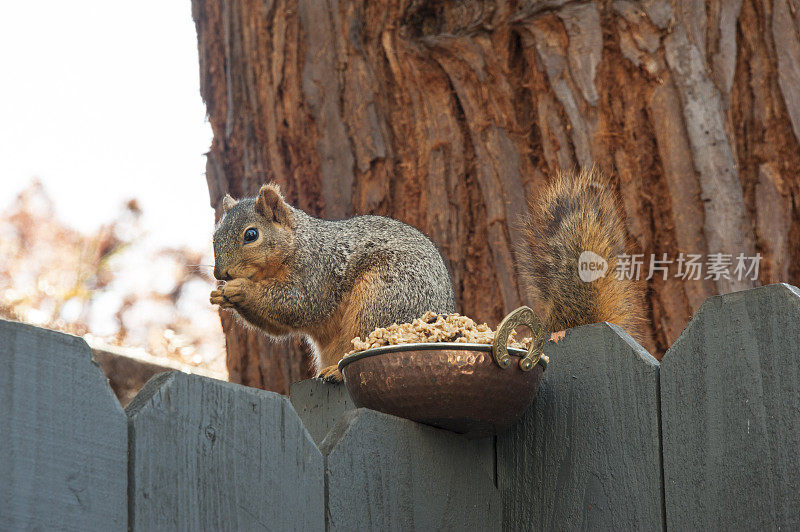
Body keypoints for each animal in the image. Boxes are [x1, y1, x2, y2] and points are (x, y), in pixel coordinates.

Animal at [211, 168, 644, 380]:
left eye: (251, 235)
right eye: (214, 234)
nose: (219, 272)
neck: (296, 245)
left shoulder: (315, 270)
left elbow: (296, 304)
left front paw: (239, 290)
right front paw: (220, 295)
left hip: (382, 300)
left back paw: (335, 371)